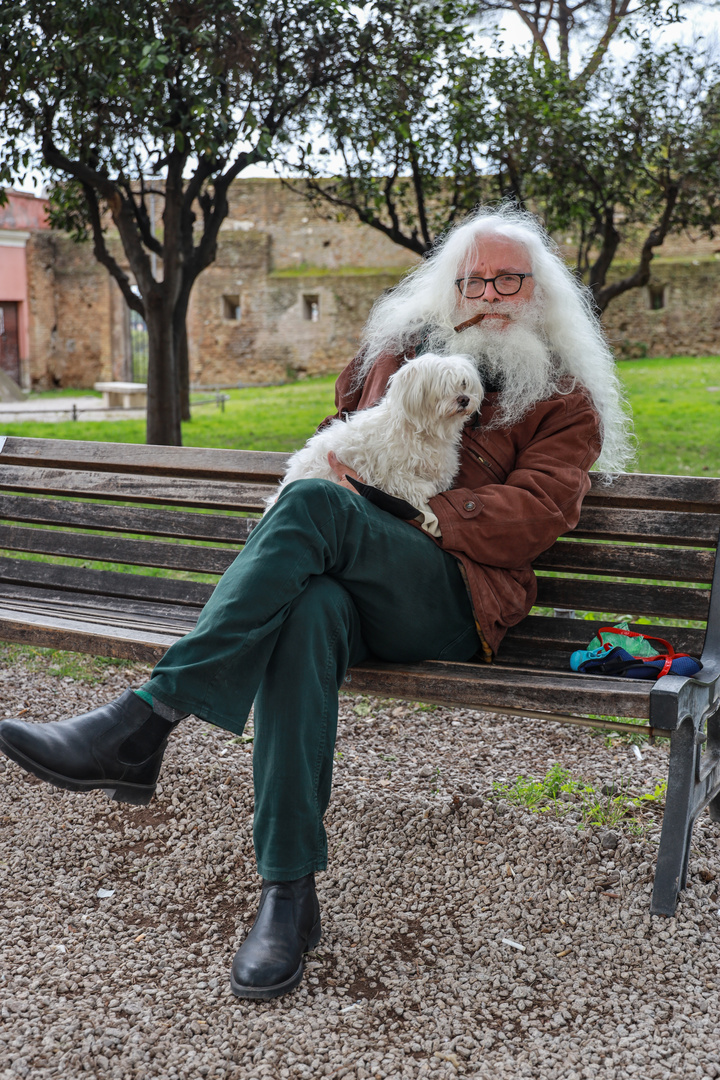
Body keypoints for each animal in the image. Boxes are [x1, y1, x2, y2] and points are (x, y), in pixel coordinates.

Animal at [269, 349, 483, 509]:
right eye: (443, 387)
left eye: (464, 383)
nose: (464, 399)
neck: (422, 431)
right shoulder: (388, 471)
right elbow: (410, 483)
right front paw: (424, 491)